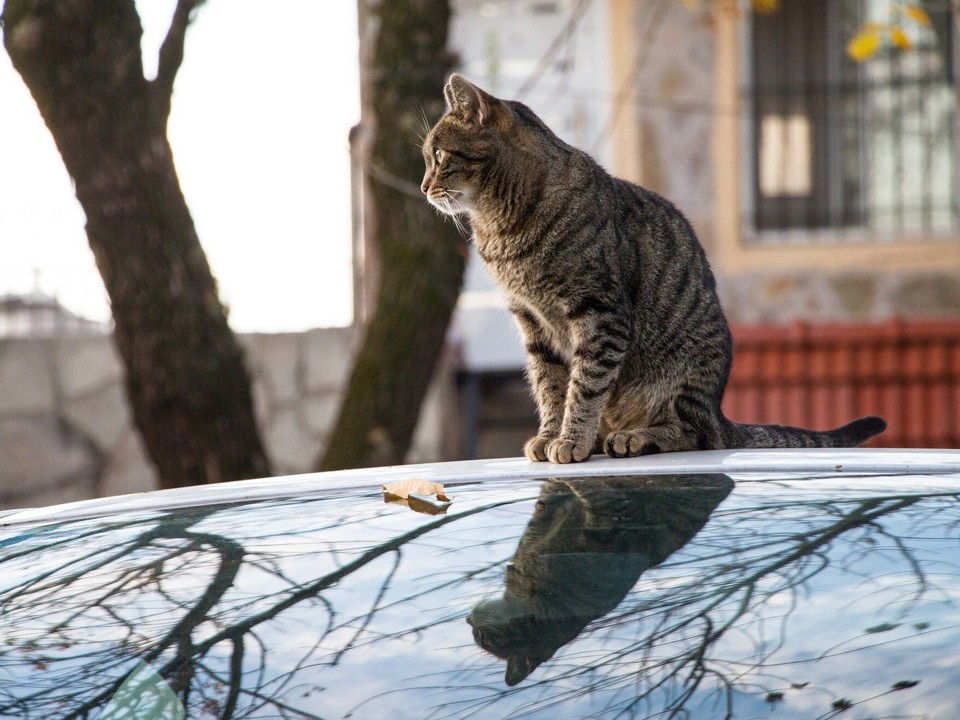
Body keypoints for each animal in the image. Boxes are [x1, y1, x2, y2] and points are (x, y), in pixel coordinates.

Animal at [424, 76, 888, 464]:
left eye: (439, 155)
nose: (425, 186)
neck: (500, 228)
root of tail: (719, 413)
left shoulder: (599, 312)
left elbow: (584, 386)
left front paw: (571, 439)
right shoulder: (533, 323)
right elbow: (550, 387)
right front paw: (552, 434)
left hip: (685, 375)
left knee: (694, 433)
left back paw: (636, 436)